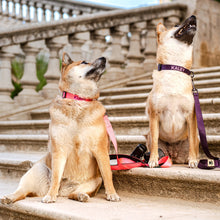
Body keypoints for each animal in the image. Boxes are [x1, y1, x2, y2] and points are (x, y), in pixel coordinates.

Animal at [0, 52, 120, 204]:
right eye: (84, 62)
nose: (104, 58)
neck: (78, 100)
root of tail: (63, 191)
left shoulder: (100, 150)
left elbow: (107, 173)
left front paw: (112, 193)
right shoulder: (59, 150)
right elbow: (56, 176)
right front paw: (51, 195)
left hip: (94, 182)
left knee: (73, 194)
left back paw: (81, 195)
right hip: (35, 172)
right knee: (22, 191)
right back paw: (10, 197)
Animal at [146, 15, 199, 168]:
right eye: (176, 25)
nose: (193, 16)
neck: (175, 68)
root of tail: (174, 156)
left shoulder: (191, 116)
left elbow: (192, 141)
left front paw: (193, 160)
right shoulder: (154, 115)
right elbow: (155, 141)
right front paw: (153, 159)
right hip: (149, 136)